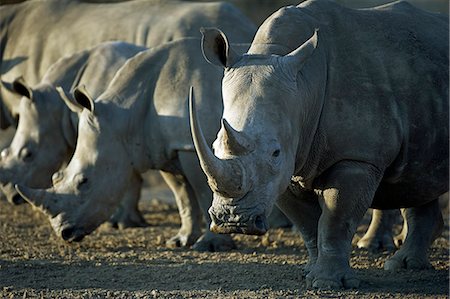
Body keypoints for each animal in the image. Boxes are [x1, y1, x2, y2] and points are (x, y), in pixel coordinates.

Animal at [189, 0, 446, 290]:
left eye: (275, 153)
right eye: (214, 146)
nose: (233, 220)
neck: (304, 87)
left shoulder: (355, 157)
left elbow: (336, 219)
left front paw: (328, 283)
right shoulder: (291, 163)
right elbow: (308, 224)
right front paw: (310, 273)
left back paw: (400, 264)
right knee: (419, 176)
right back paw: (404, 265)